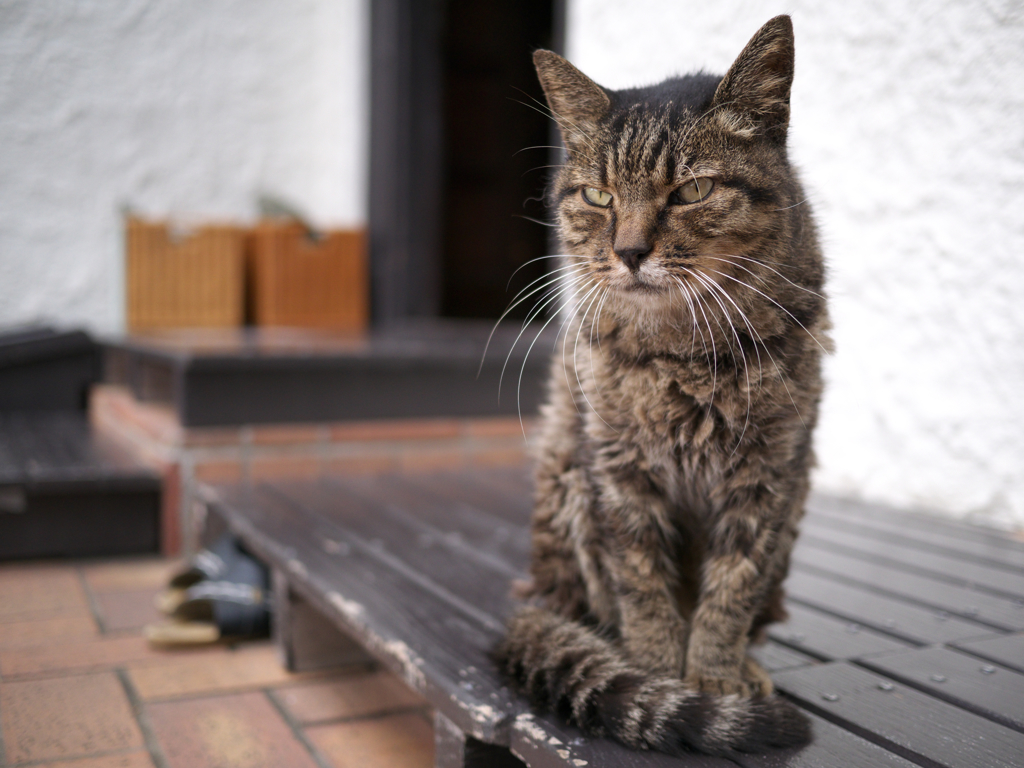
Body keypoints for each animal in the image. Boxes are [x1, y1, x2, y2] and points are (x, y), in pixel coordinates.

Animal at [491, 16, 827, 757]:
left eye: (692, 192)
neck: (683, 348)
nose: (629, 251)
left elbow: (732, 590)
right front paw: (654, 671)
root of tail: (537, 593)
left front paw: (714, 677)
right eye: (599, 196)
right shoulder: (618, 471)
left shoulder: (768, 477)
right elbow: (641, 582)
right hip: (566, 478)